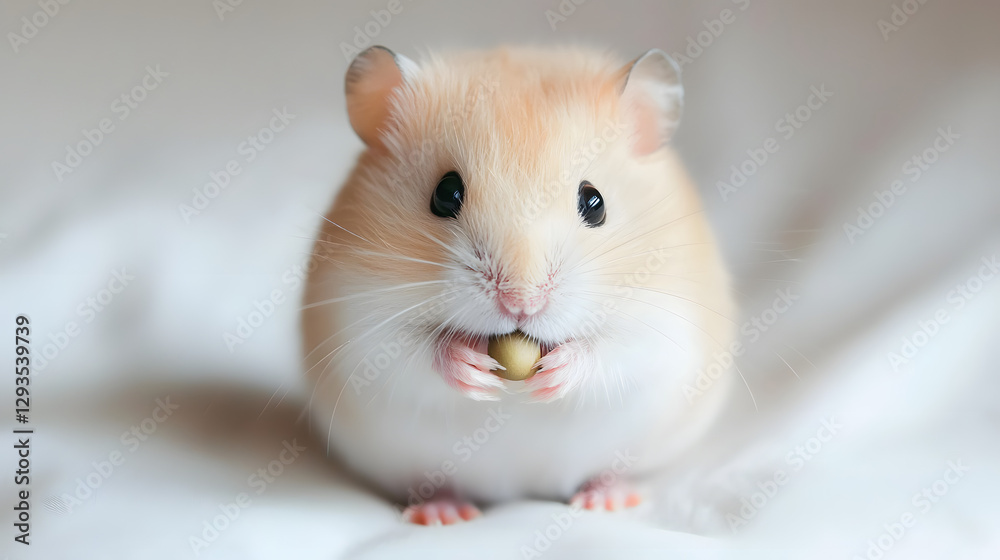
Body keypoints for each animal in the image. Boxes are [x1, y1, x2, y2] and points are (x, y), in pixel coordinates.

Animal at [301, 45, 734, 525]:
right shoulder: (358, 323)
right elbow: (410, 352)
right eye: (445, 194)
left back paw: (608, 500)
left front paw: (553, 376)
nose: (521, 303)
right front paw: (474, 370)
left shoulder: (666, 323)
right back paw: (446, 513)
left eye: (595, 202)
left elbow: (616, 351)